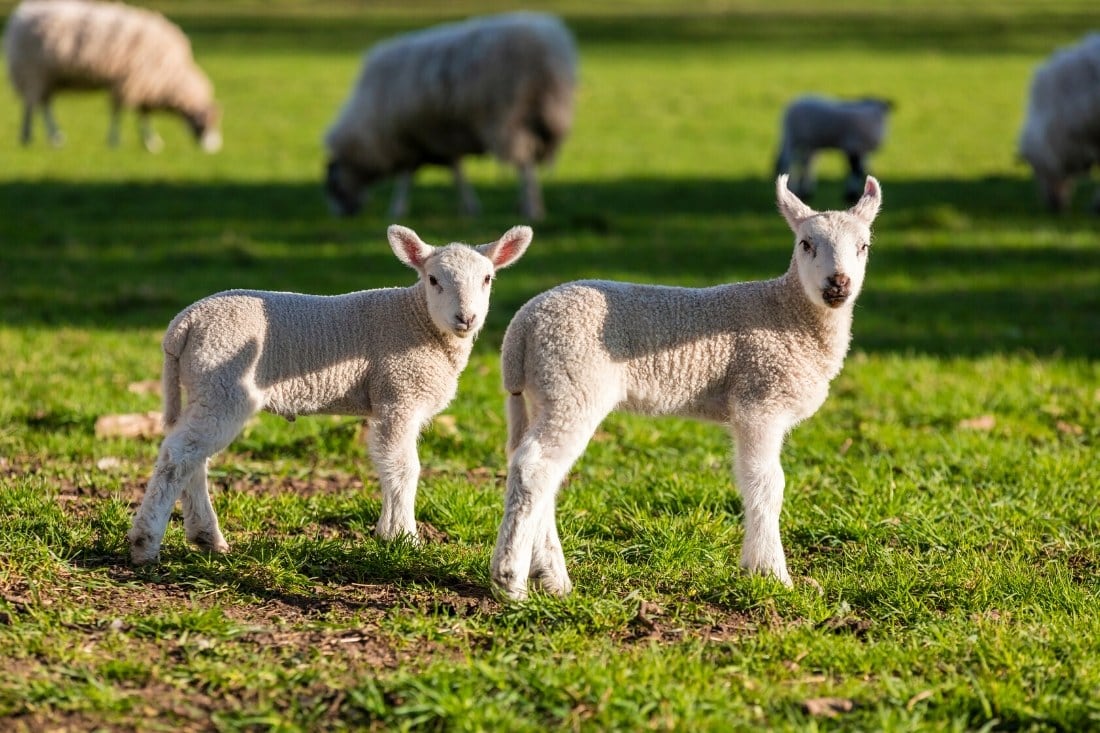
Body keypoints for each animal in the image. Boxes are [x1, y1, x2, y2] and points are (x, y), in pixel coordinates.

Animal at [3, 0, 222, 150]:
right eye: (206, 124)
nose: (214, 149)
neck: (171, 75)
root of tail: (20, 14)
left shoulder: (143, 86)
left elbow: (143, 114)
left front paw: (150, 142)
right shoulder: (129, 81)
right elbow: (119, 112)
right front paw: (117, 140)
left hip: (44, 77)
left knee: (40, 104)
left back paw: (44, 136)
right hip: (34, 72)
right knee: (33, 105)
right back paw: (40, 136)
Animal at [127, 221, 532, 559]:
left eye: (488, 279)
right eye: (433, 279)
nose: (467, 318)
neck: (418, 320)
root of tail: (183, 324)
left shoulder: (389, 400)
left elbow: (387, 464)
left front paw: (387, 533)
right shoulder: (399, 394)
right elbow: (404, 467)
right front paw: (406, 538)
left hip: (205, 387)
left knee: (193, 457)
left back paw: (205, 537)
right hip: (223, 382)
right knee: (179, 455)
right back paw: (146, 544)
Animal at [321, 11, 576, 220]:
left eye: (333, 185)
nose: (341, 215)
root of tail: (550, 46)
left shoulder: (410, 137)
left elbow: (407, 177)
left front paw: (397, 209)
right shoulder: (440, 137)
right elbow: (457, 172)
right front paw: (470, 208)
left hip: (509, 118)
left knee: (525, 165)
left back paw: (532, 210)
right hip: (542, 118)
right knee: (528, 162)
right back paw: (526, 204)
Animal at [490, 173, 884, 598]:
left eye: (863, 246)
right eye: (805, 244)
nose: (838, 283)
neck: (786, 313)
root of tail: (522, 326)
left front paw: (757, 568)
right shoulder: (760, 399)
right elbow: (766, 483)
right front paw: (771, 573)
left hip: (542, 391)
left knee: (535, 468)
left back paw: (553, 578)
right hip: (572, 382)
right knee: (535, 466)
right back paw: (510, 579)